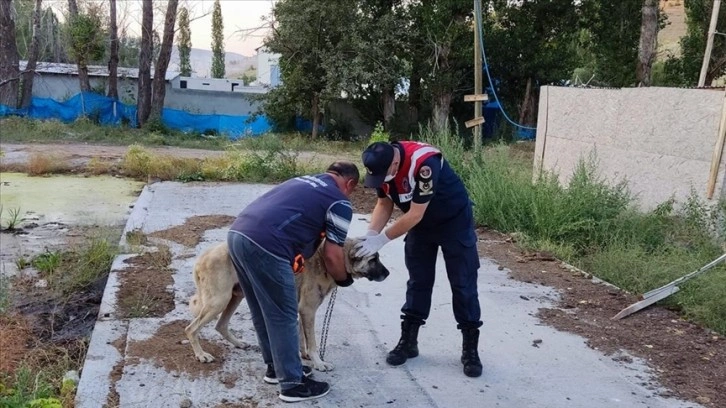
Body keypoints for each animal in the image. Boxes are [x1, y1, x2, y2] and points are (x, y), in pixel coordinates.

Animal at [186, 237, 392, 372]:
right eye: (373, 259)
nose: (388, 274)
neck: (325, 260)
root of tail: (202, 257)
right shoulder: (308, 310)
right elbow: (313, 342)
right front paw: (319, 363)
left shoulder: (301, 310)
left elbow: (302, 336)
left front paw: (304, 354)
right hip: (218, 301)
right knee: (191, 329)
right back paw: (201, 355)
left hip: (234, 297)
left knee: (220, 325)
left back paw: (238, 343)